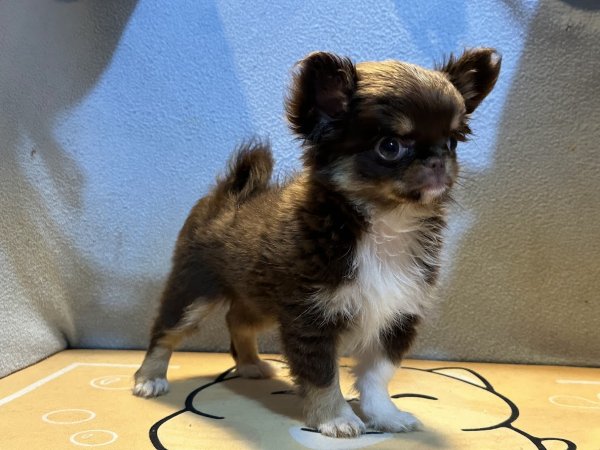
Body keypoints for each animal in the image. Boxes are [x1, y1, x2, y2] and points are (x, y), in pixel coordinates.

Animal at [133, 48, 501, 438]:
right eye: (389, 147)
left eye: (453, 142)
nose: (438, 160)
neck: (385, 222)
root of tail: (228, 193)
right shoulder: (311, 319)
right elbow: (323, 375)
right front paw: (335, 417)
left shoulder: (397, 314)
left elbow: (378, 375)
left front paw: (385, 415)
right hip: (195, 290)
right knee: (165, 331)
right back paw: (149, 378)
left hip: (259, 299)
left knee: (238, 320)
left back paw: (249, 364)